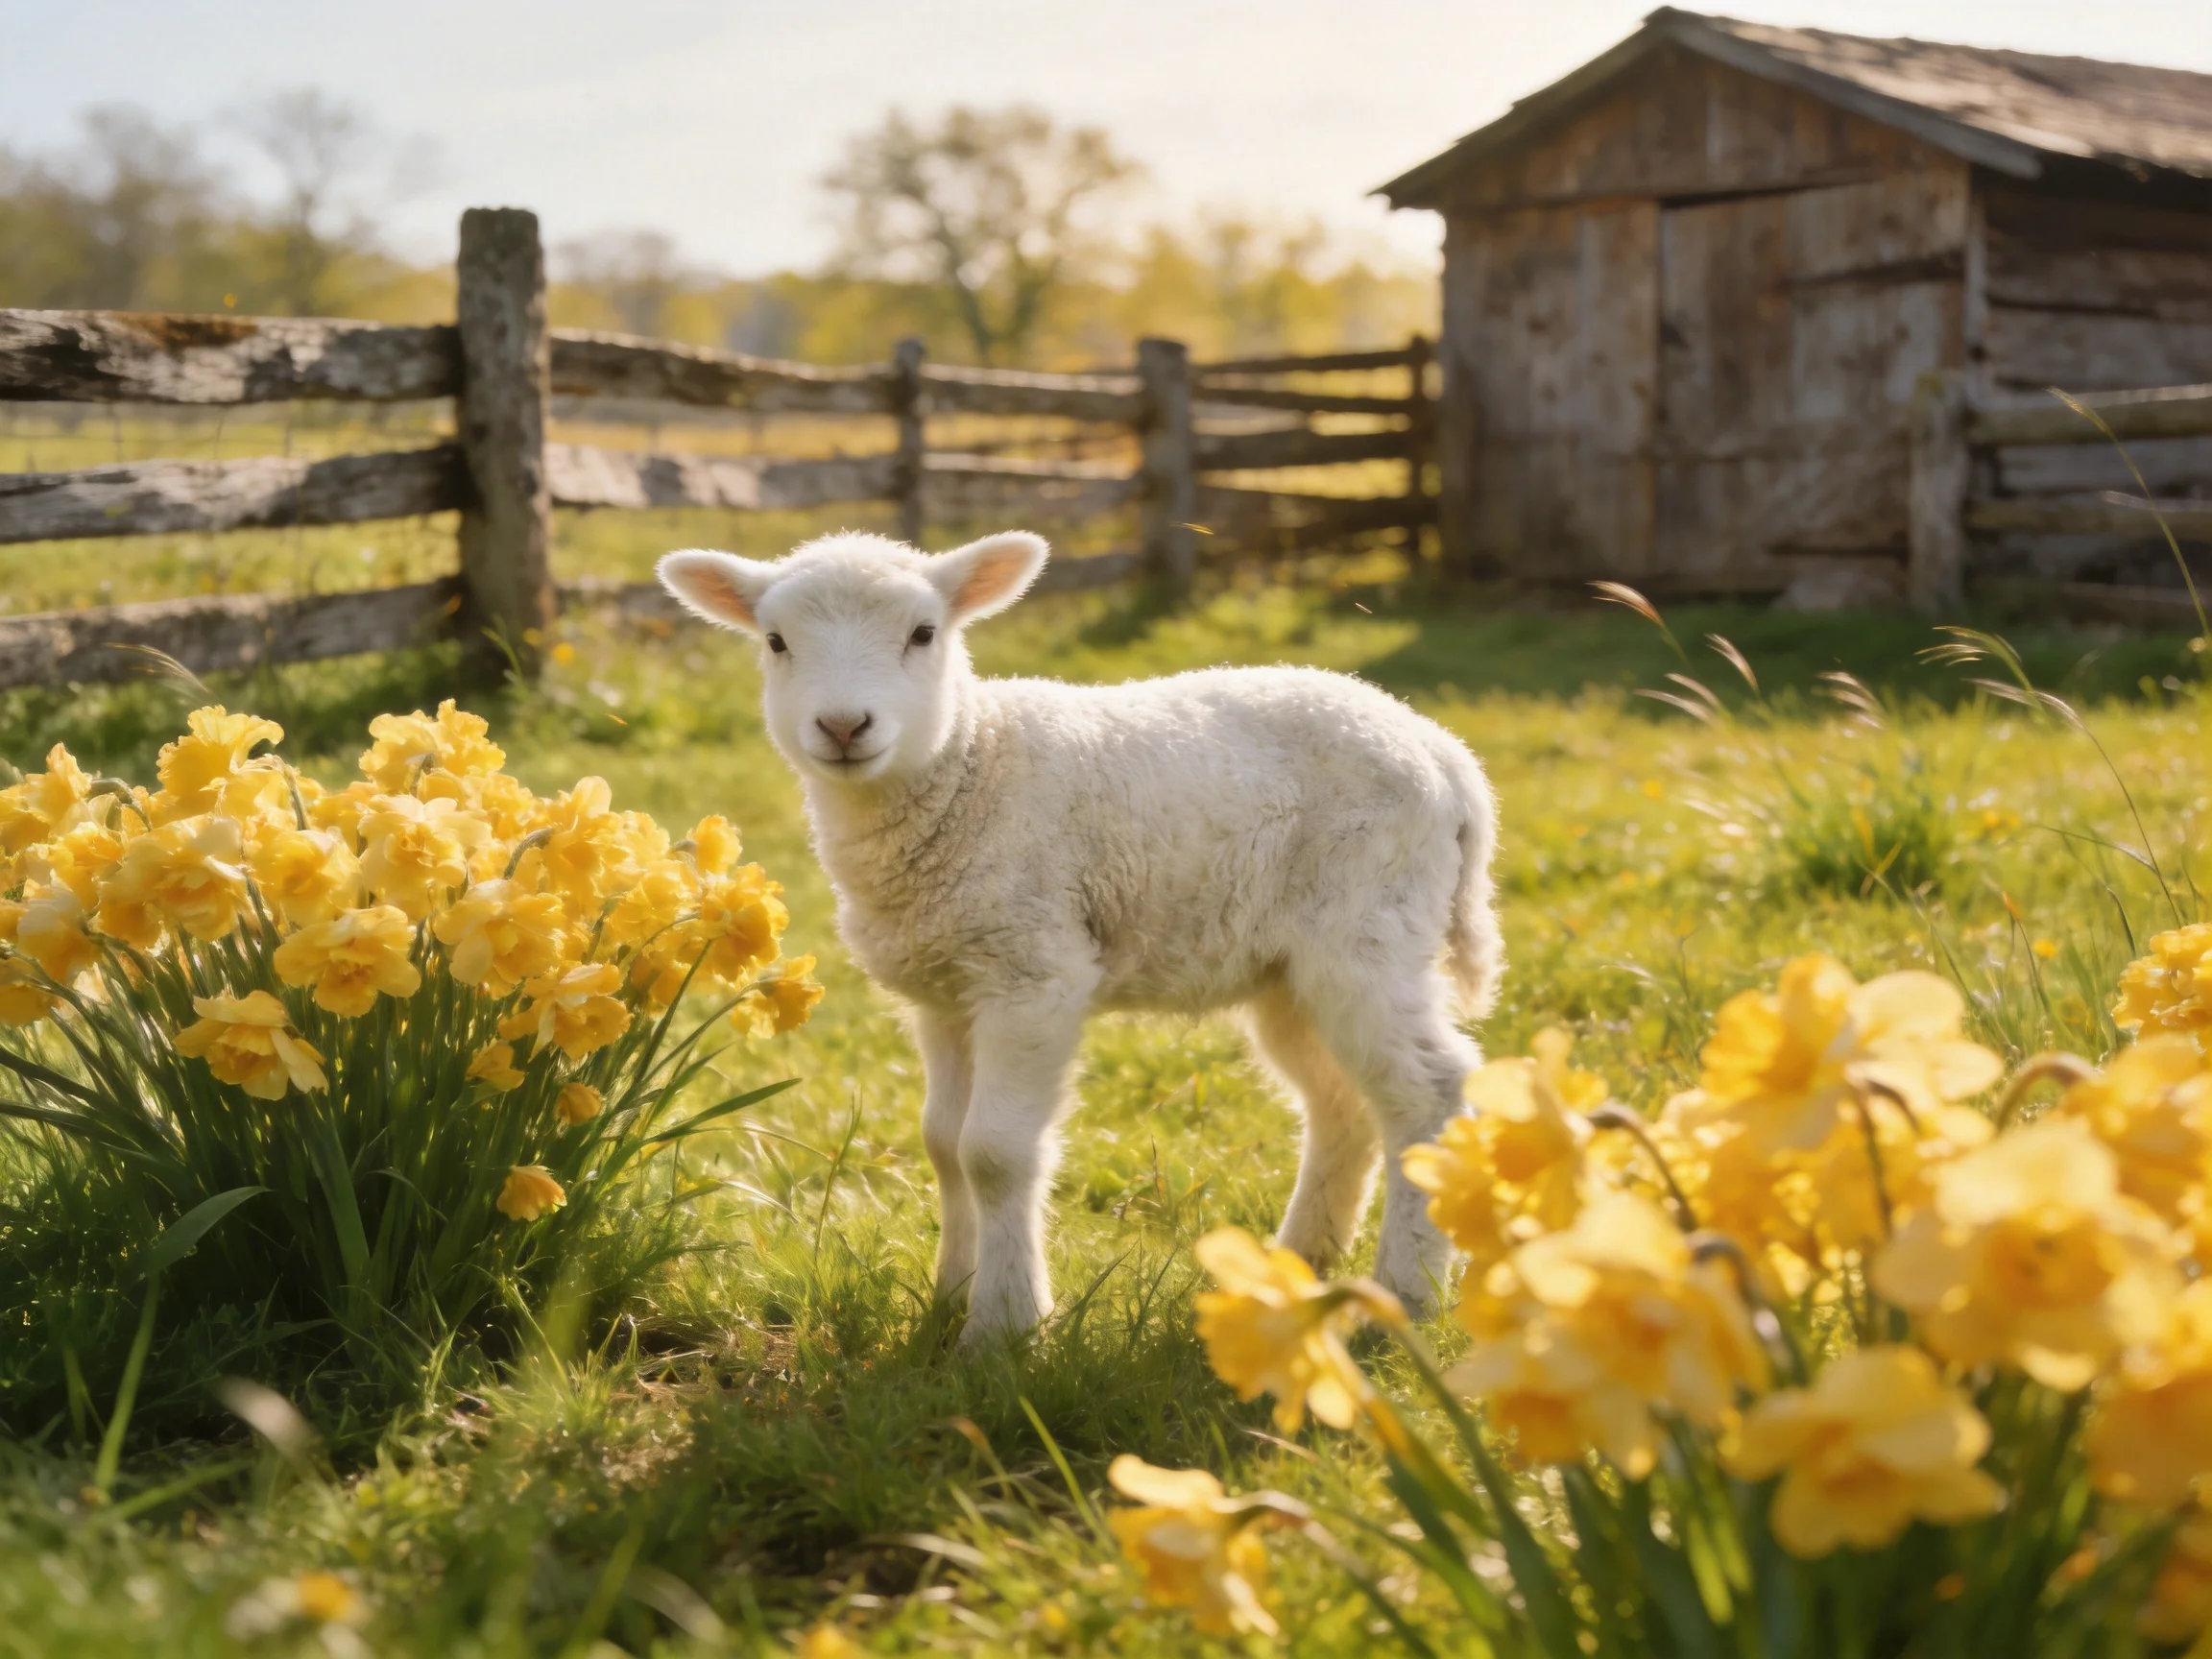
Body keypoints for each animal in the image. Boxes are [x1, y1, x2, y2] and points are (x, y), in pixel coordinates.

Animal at [658, 530, 1501, 1341]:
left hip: (1369, 926)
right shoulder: (946, 992)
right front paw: (947, 1298)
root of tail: (1447, 755)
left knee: (1429, 1091)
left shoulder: (1033, 972)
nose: (842, 725)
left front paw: (1004, 1325)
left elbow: (992, 1152)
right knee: (1342, 1105)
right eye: (775, 642)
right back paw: (1301, 1267)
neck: (966, 768)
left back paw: (1407, 1297)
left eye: (924, 633)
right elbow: (943, 1145)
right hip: (1290, 969)